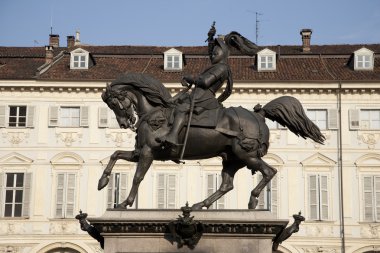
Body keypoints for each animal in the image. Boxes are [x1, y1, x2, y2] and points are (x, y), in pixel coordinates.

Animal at [97, 71, 324, 210]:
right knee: (226, 185)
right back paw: (200, 205)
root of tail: (258, 115)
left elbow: (137, 177)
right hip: (232, 159)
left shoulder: (147, 152)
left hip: (246, 154)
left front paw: (124, 203)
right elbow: (115, 155)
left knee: (269, 171)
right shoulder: (140, 152)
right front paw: (103, 181)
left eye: (114, 102)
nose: (125, 123)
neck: (153, 113)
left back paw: (252, 200)